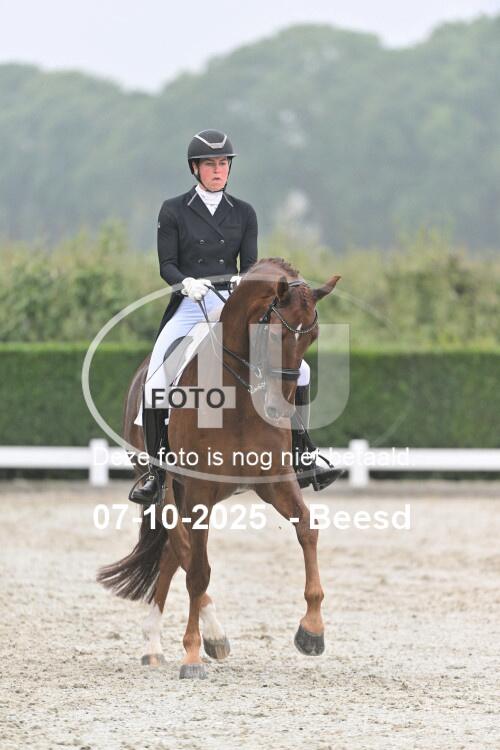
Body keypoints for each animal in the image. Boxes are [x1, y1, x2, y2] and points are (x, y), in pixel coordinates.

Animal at [97, 257, 341, 679]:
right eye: (272, 333)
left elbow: (308, 529)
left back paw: (166, 643)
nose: (278, 409)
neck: (239, 396)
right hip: (166, 489)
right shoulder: (200, 492)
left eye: (312, 336)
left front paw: (311, 630)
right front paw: (193, 654)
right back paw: (198, 638)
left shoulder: (274, 482)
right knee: (183, 552)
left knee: (170, 555)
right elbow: (199, 569)